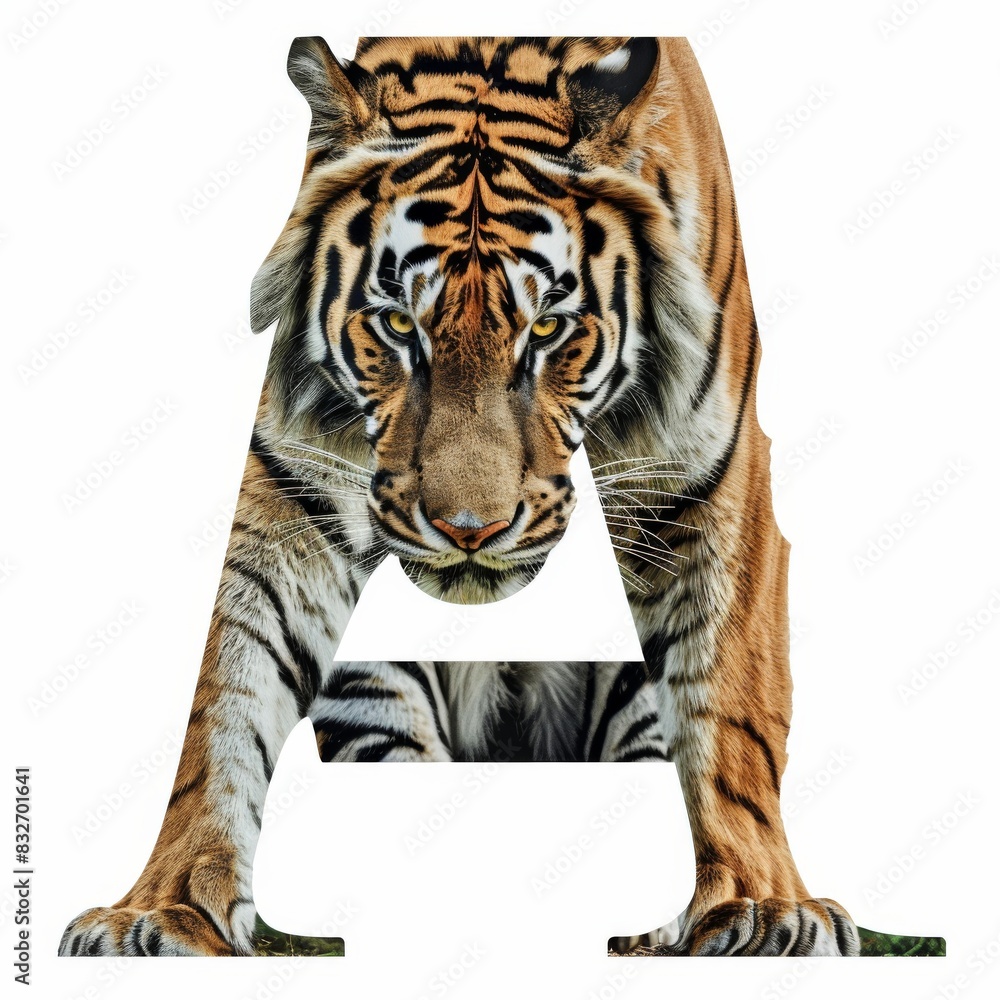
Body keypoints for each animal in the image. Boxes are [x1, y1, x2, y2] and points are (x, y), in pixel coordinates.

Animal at [60, 35, 863, 958]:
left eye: (547, 330)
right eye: (397, 327)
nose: (469, 530)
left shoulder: (706, 485)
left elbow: (727, 705)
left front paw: (759, 906)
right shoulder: (296, 489)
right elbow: (225, 694)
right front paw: (164, 907)